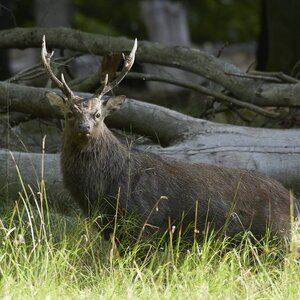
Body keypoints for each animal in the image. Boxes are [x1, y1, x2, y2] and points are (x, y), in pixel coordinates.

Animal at [41, 36, 298, 245]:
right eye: (69, 113)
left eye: (97, 114)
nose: (84, 127)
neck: (101, 192)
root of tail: (292, 202)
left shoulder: (144, 221)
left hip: (278, 236)